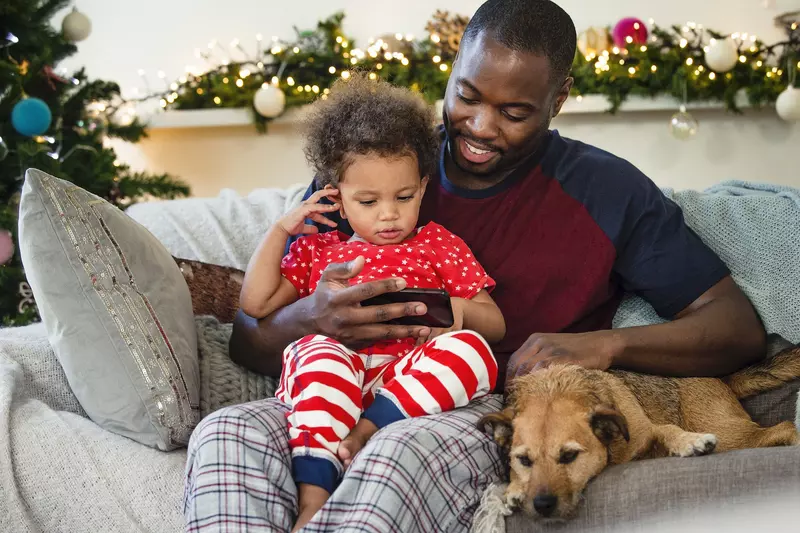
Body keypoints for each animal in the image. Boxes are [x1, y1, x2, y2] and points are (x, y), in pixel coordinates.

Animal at [478, 344, 796, 520]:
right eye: (524, 461)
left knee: (785, 427)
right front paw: (514, 489)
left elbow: (666, 429)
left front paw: (690, 442)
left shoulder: (647, 431)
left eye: (569, 456)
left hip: (730, 435)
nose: (542, 505)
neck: (554, 388)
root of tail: (722, 377)